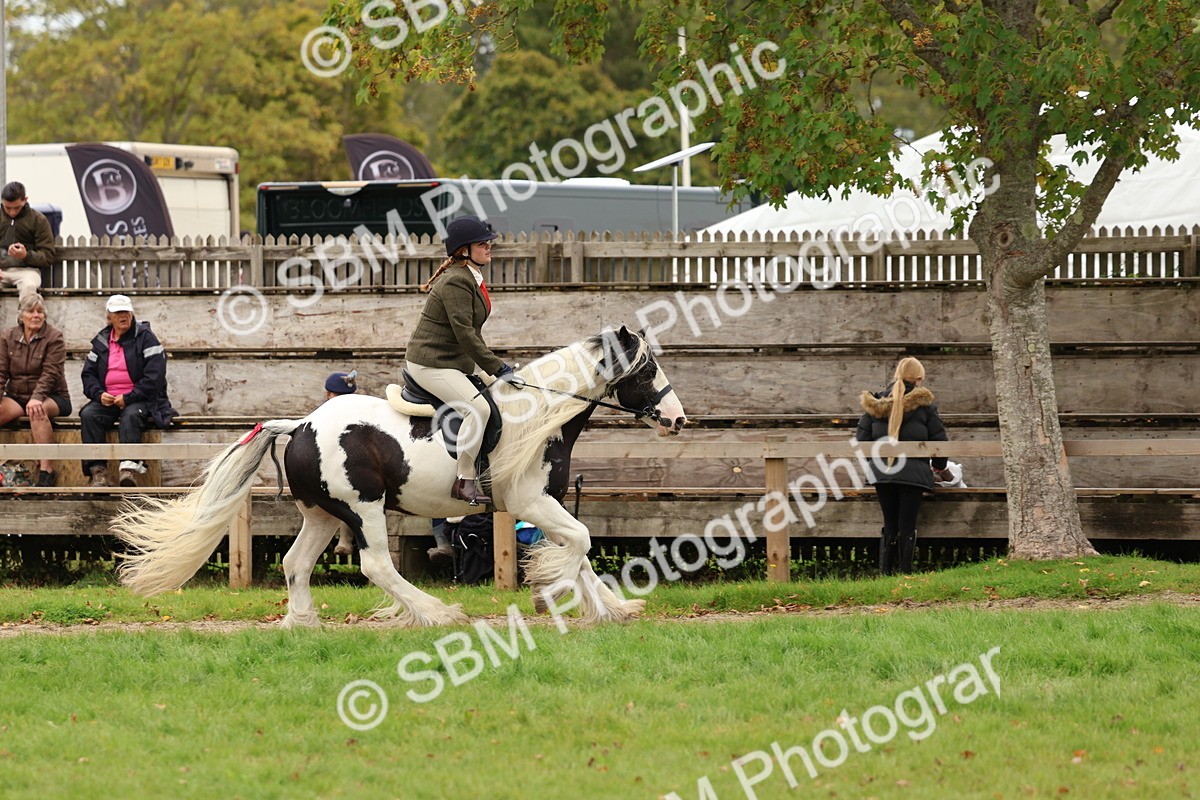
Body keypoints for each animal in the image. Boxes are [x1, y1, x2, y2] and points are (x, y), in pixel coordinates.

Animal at [112, 326, 687, 628]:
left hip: (323, 514)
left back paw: (304, 624)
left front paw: (612, 607)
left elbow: (580, 546)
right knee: (376, 566)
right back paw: (437, 613)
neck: (539, 414)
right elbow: (581, 543)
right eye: (646, 370)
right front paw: (571, 597)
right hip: (362, 508)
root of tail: (300, 425)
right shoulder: (529, 501)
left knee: (296, 563)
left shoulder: (548, 504)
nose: (678, 419)